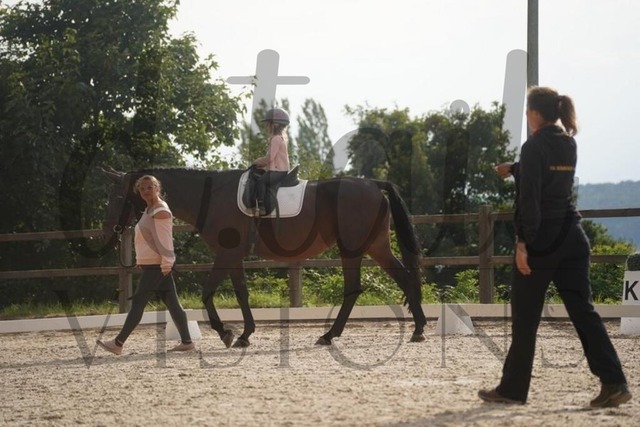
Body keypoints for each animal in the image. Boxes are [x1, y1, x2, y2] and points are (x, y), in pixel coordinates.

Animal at [102, 167, 427, 348]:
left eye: (116, 198)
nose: (107, 235)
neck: (212, 196)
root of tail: (373, 185)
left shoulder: (227, 253)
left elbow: (208, 293)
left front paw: (226, 333)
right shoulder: (233, 256)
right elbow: (241, 293)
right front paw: (244, 334)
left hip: (353, 249)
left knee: (357, 288)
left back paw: (334, 334)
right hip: (375, 247)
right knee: (401, 279)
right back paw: (416, 329)